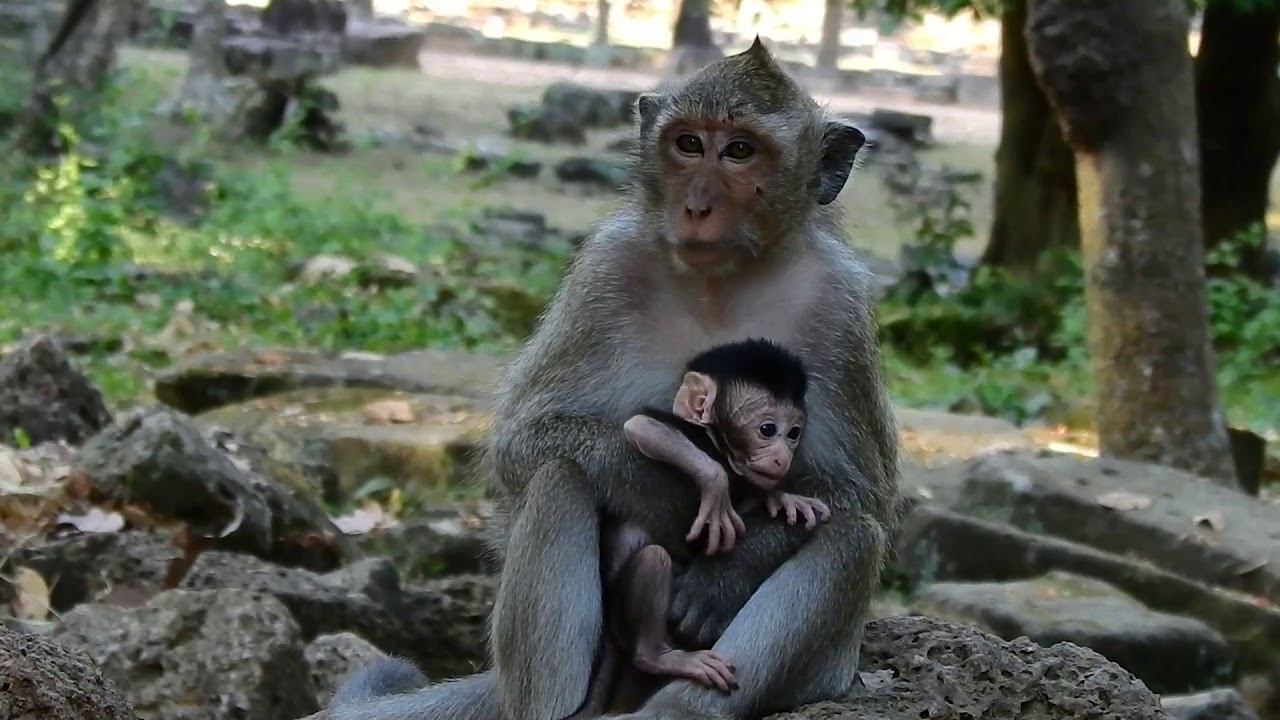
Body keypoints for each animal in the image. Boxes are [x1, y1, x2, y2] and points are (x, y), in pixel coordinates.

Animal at [326, 36, 900, 720]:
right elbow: (526, 439)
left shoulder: (840, 307)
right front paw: (674, 495)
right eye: (688, 144)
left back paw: (683, 706)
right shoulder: (606, 271)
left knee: (853, 540)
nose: (695, 205)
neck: (721, 283)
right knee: (560, 478)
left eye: (740, 151)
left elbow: (858, 495)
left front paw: (729, 572)